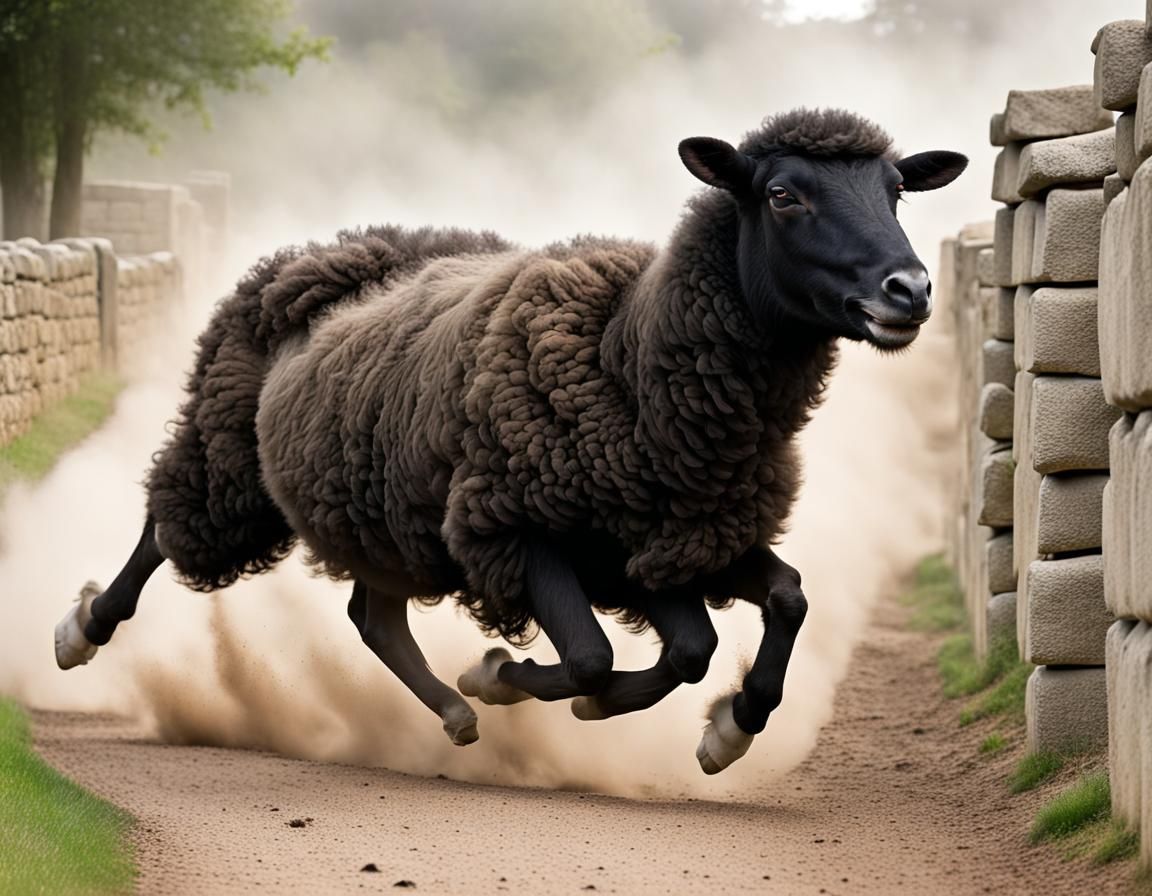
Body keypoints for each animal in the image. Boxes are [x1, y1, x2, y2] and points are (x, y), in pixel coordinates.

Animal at [55, 108, 967, 774]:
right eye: (783, 195)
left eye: (896, 192)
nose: (910, 289)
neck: (627, 358)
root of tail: (338, 243)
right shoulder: (518, 528)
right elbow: (601, 656)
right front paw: (505, 676)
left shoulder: (671, 542)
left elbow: (759, 614)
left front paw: (727, 729)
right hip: (230, 455)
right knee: (163, 530)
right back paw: (83, 629)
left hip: (386, 514)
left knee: (371, 618)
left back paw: (452, 713)